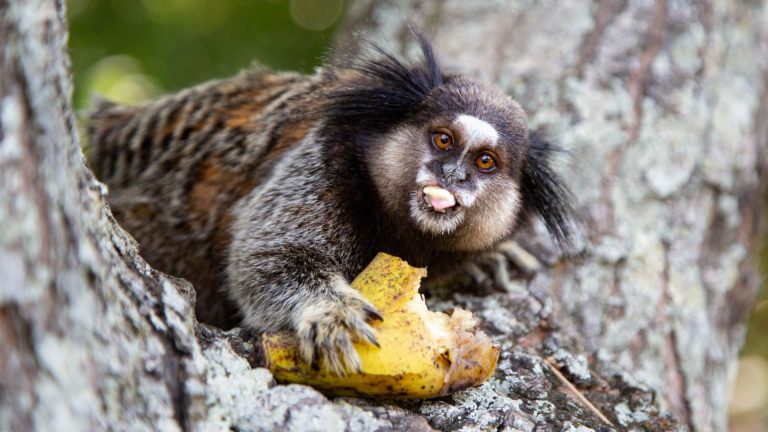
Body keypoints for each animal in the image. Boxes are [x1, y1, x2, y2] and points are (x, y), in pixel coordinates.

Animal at [86, 33, 574, 376]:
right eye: (443, 140)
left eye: (485, 161)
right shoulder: (324, 164)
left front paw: (486, 261)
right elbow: (266, 256)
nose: (453, 175)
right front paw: (330, 311)